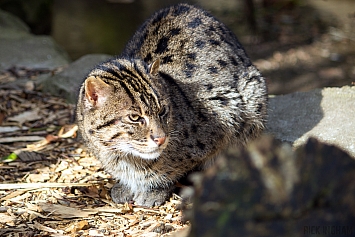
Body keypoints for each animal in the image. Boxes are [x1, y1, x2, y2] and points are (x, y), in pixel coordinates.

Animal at [76, 2, 268, 206]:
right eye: (134, 117)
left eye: (162, 111)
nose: (161, 139)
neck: (123, 155)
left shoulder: (226, 110)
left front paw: (154, 189)